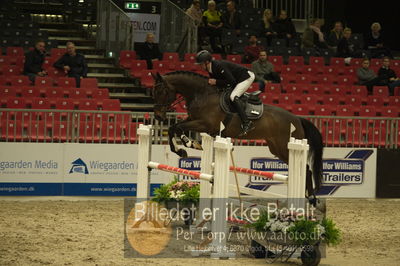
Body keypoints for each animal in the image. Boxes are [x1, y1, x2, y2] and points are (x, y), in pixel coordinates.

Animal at [152, 69, 324, 198]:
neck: (202, 94)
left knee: (306, 168)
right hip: (276, 148)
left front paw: (189, 144)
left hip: (286, 146)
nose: (158, 117)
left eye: (162, 91)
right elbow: (175, 127)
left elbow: (177, 128)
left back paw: (311, 197)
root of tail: (297, 118)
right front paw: (182, 149)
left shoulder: (205, 124)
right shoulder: (194, 120)